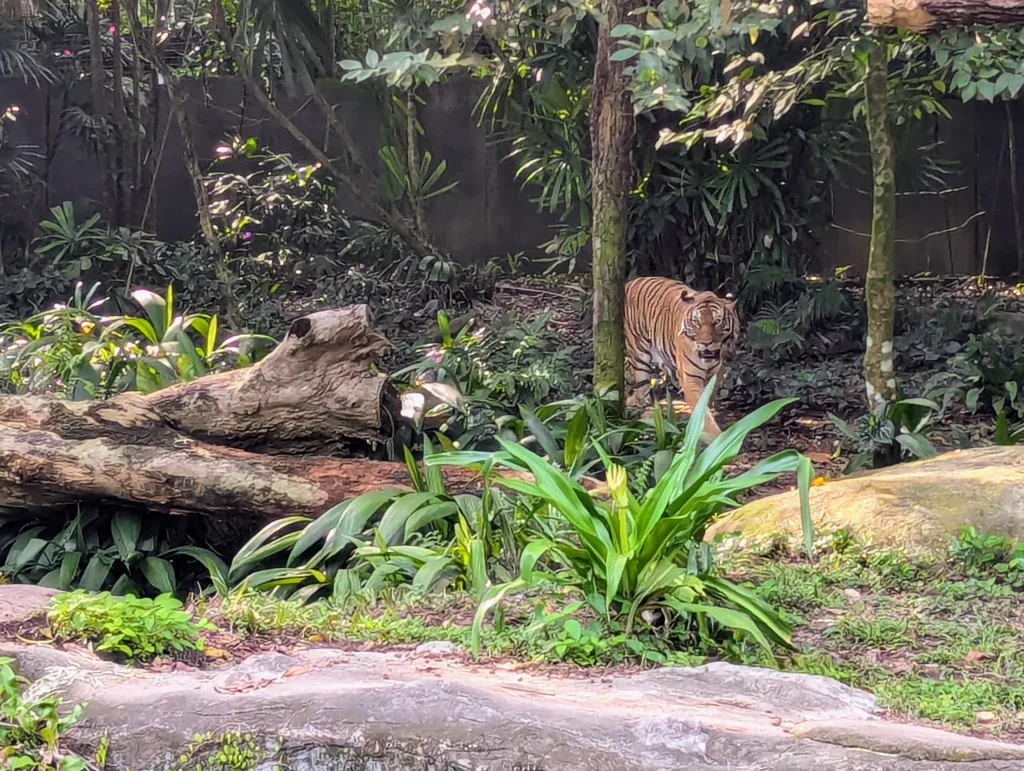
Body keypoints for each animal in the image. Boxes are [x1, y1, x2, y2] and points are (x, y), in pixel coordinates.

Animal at [624, 276, 739, 437]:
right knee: (642, 389)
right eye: (697, 322)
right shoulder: (690, 379)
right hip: (639, 355)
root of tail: (629, 283)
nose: (706, 343)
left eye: (717, 322)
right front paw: (716, 438)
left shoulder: (717, 374)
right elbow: (702, 412)